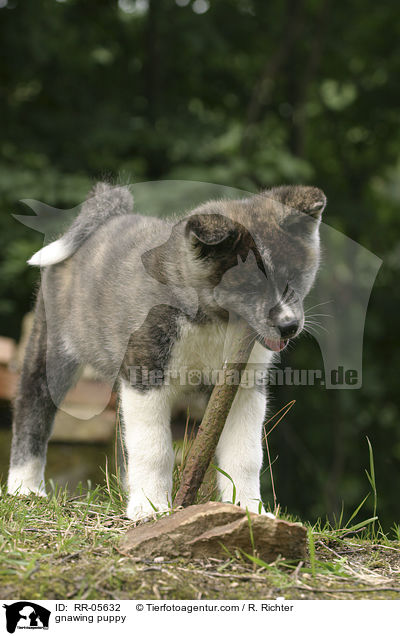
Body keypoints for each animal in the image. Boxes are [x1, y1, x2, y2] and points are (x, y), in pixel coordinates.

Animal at [7, 181, 324, 520]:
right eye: (249, 285)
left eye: (294, 277)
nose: (289, 326)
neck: (211, 321)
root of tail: (108, 218)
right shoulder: (145, 375)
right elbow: (154, 448)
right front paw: (150, 507)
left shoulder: (243, 387)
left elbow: (245, 454)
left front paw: (249, 509)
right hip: (51, 350)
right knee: (32, 410)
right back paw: (24, 487)